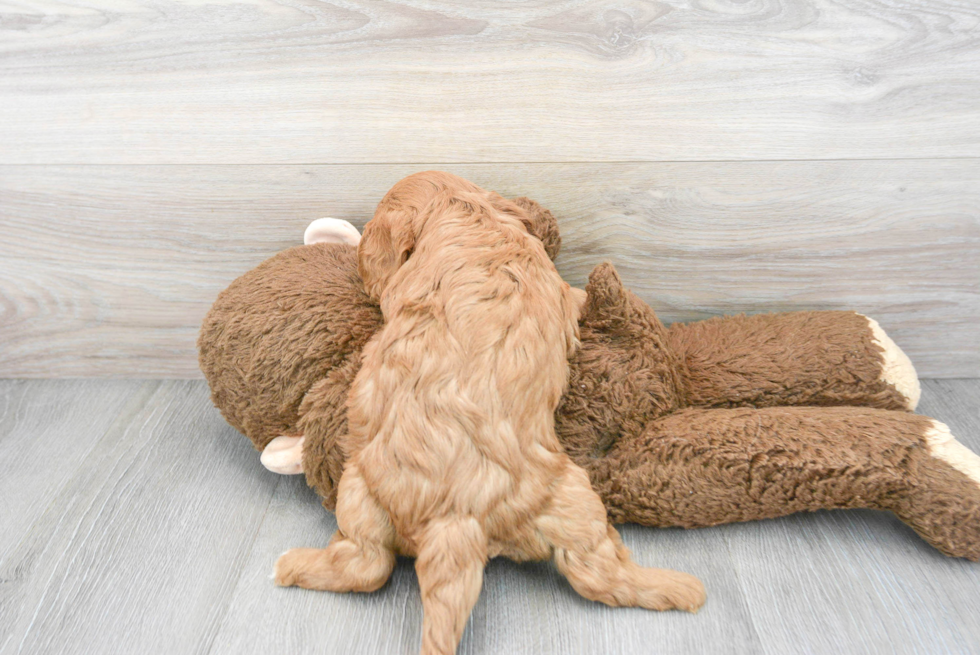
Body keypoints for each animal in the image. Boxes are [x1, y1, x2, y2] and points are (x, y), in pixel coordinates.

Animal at [274, 172, 704, 652]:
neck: (466, 215)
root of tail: (454, 516)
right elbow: (574, 296)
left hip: (362, 488)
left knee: (367, 564)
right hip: (558, 498)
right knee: (593, 571)